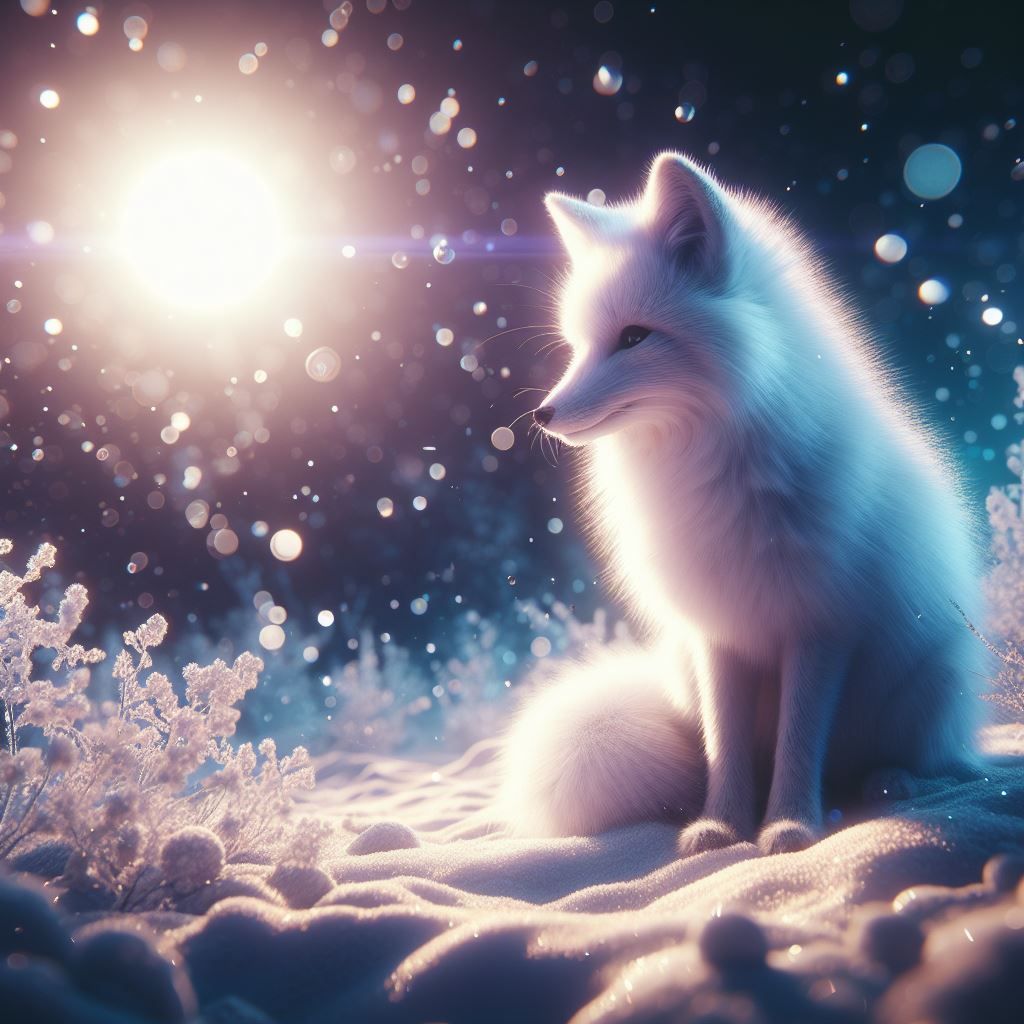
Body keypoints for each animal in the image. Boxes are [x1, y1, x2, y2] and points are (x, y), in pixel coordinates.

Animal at [500, 152, 989, 855]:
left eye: (634, 338)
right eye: (578, 345)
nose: (543, 414)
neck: (713, 465)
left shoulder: (820, 627)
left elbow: (799, 742)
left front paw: (791, 826)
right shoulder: (718, 632)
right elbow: (723, 747)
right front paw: (723, 826)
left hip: (930, 683)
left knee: (946, 764)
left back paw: (896, 782)